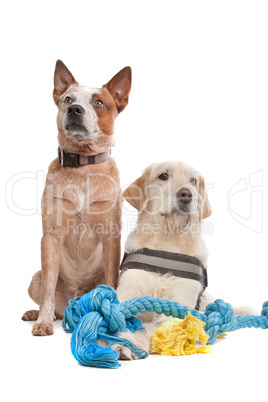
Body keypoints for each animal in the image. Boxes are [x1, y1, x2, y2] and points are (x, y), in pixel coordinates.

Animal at [22, 60, 131, 336]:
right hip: (35, 278)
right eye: (67, 99)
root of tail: (77, 296)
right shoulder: (50, 236)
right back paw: (38, 313)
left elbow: (112, 282)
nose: (74, 110)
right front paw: (43, 321)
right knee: (52, 298)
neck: (83, 167)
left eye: (99, 102)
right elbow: (48, 289)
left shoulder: (111, 236)